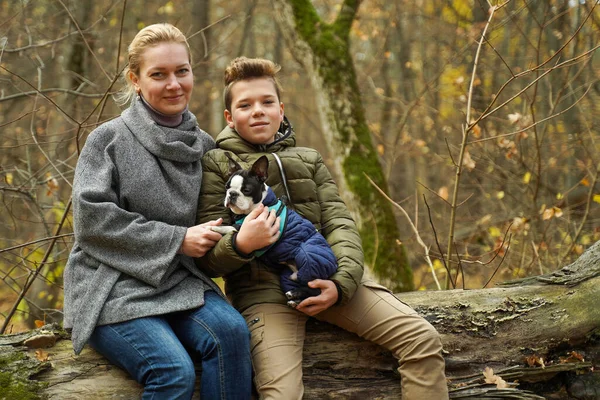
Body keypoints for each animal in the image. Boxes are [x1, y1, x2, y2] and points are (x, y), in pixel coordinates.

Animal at [210, 154, 338, 310]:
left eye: (246, 190)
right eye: (227, 187)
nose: (232, 194)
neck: (261, 204)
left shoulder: (245, 226)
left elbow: (230, 227)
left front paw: (215, 227)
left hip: (308, 259)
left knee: (315, 289)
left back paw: (295, 294)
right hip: (287, 276)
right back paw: (295, 299)